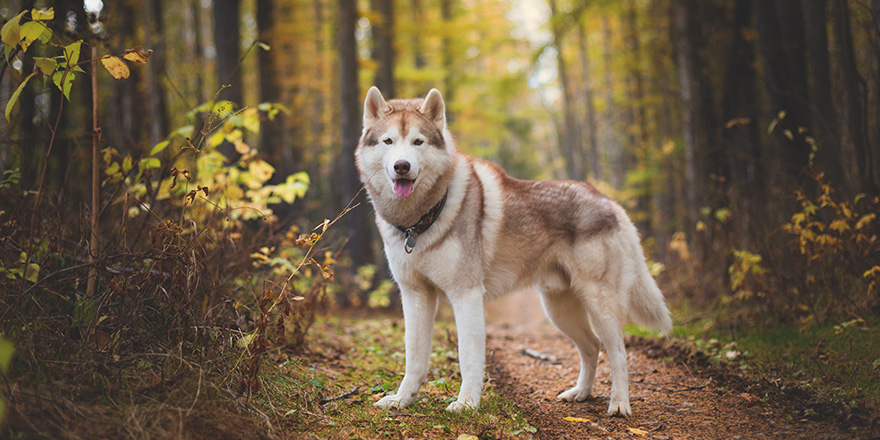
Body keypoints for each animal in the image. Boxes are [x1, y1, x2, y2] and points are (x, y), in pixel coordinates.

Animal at [354, 86, 672, 416]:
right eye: (388, 141)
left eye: (418, 141)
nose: (401, 166)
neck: (420, 222)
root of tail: (608, 201)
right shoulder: (415, 296)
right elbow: (414, 357)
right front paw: (402, 399)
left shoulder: (466, 296)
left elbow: (469, 358)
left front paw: (466, 404)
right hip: (559, 309)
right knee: (592, 346)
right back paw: (581, 393)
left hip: (600, 303)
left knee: (619, 353)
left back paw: (619, 404)